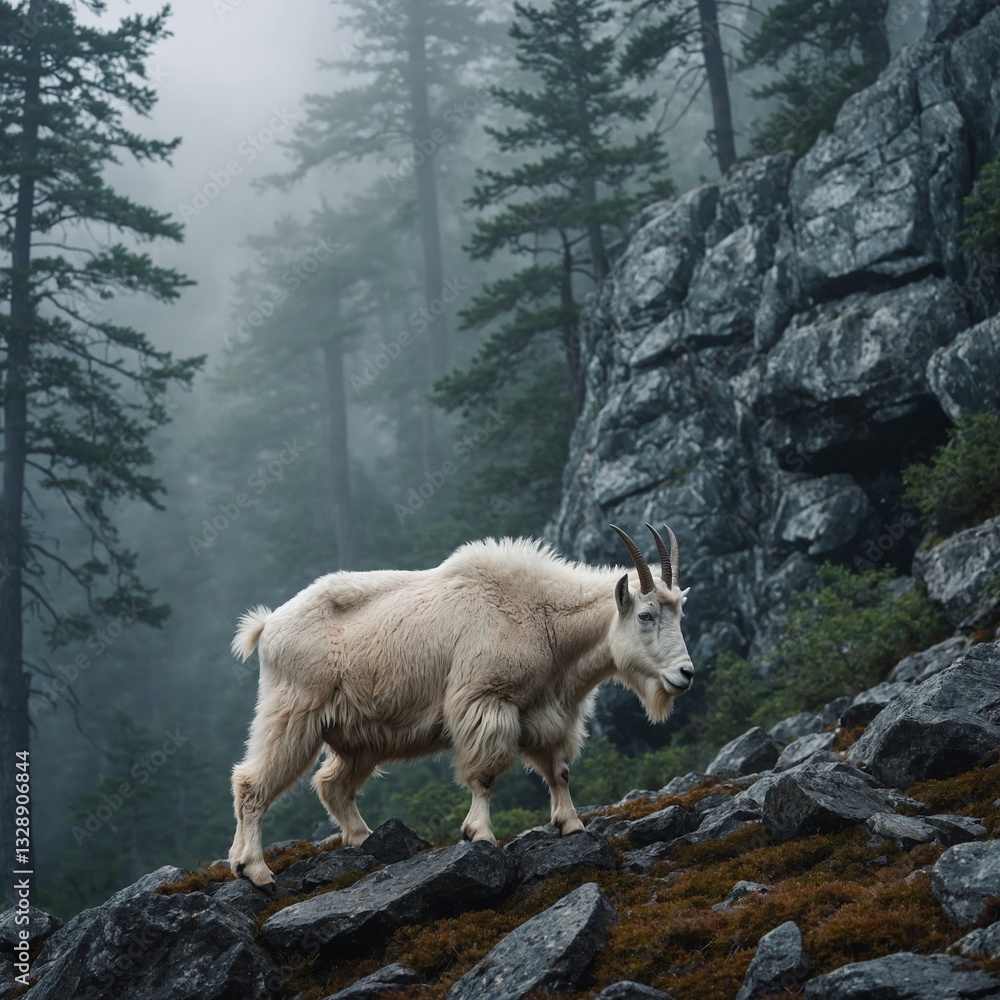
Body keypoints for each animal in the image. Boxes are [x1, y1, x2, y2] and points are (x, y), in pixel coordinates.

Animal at [228, 524, 694, 886]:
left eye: (679, 614)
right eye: (646, 615)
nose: (685, 674)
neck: (545, 620)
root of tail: (268, 625)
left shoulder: (550, 713)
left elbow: (559, 770)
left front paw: (571, 824)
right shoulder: (486, 699)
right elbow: (484, 775)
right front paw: (480, 833)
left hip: (357, 737)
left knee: (332, 784)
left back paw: (360, 838)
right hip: (293, 711)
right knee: (251, 783)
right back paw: (254, 869)